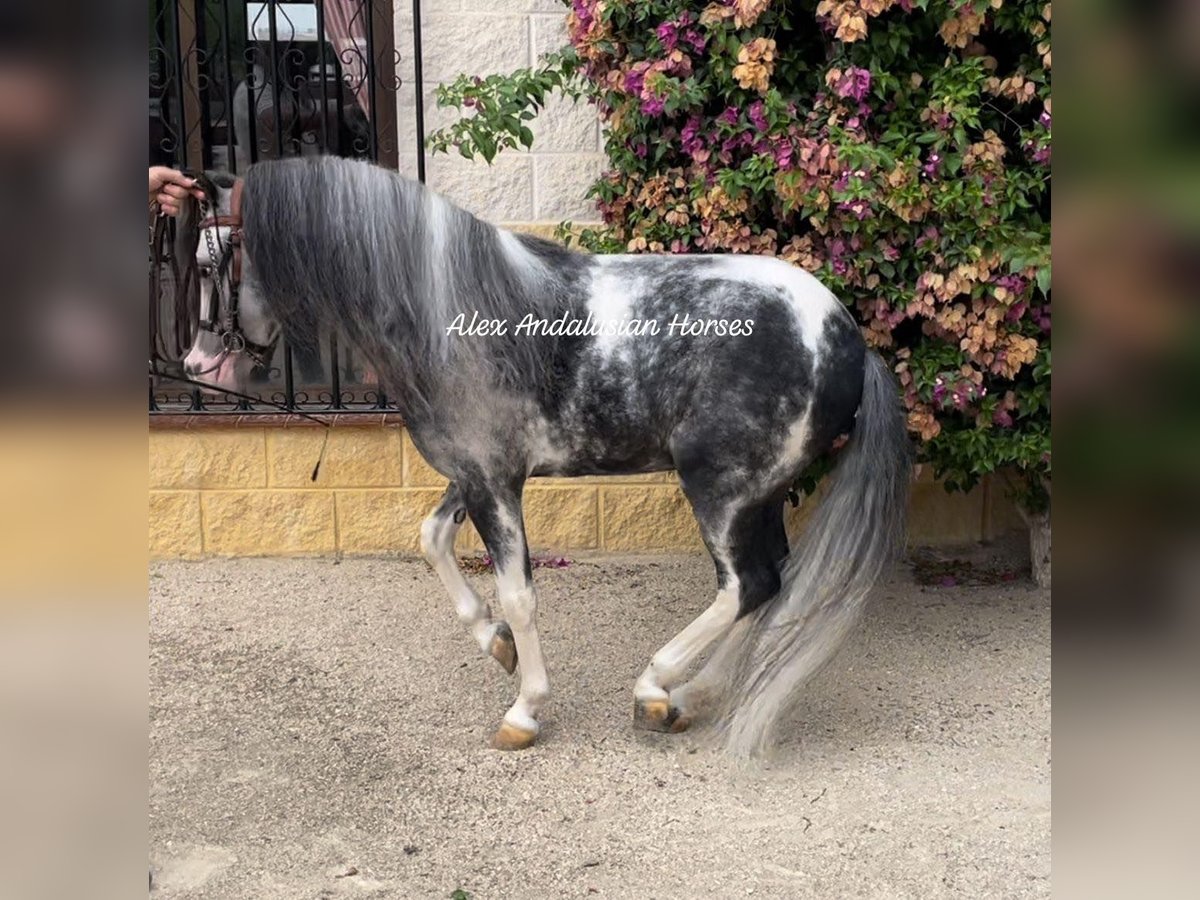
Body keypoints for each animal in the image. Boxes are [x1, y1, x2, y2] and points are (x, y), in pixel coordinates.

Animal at [174, 157, 907, 763]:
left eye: (210, 265)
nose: (195, 366)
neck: (447, 310)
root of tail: (845, 339)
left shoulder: (494, 482)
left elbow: (519, 593)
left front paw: (524, 710)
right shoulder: (475, 474)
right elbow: (432, 541)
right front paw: (494, 644)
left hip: (721, 493)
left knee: (746, 585)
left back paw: (655, 688)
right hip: (759, 496)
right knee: (770, 583)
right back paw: (694, 696)